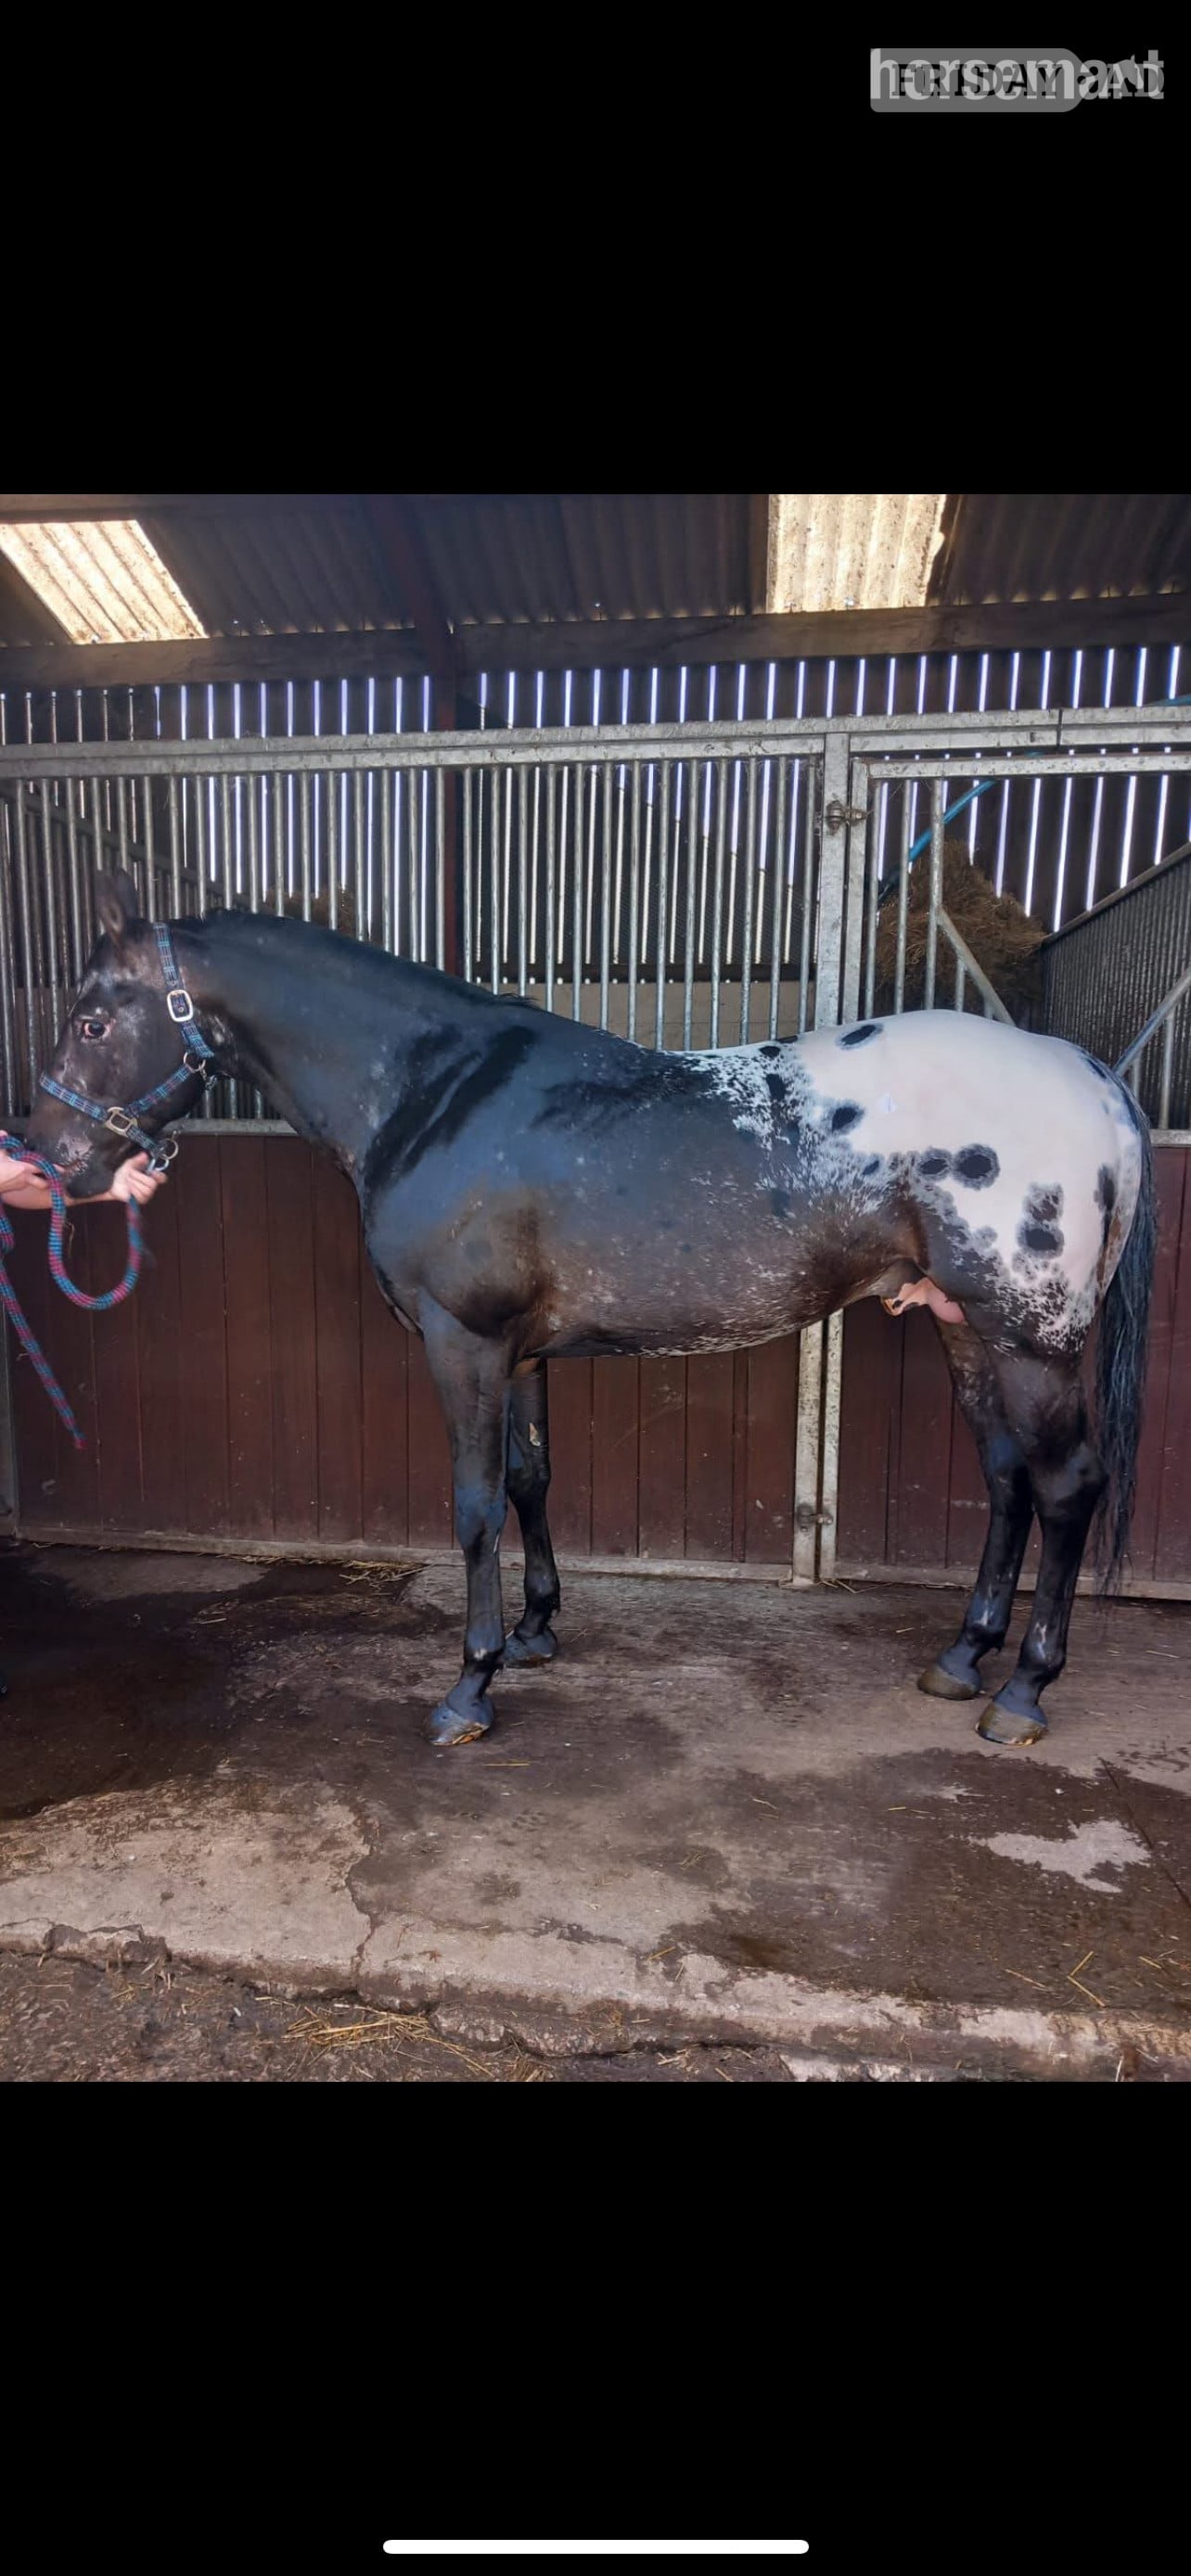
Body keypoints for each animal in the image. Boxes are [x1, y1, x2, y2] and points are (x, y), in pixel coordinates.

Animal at [25, 868, 1155, 1753]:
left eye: (90, 1019)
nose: (44, 1158)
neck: (436, 1093)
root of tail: (1090, 1078)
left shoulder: (466, 1343)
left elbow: (476, 1507)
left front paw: (469, 1686)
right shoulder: (522, 1354)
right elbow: (531, 1481)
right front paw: (534, 1634)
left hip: (1031, 1339)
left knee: (1066, 1488)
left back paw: (1023, 1692)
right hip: (964, 1327)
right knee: (1007, 1480)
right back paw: (963, 1657)